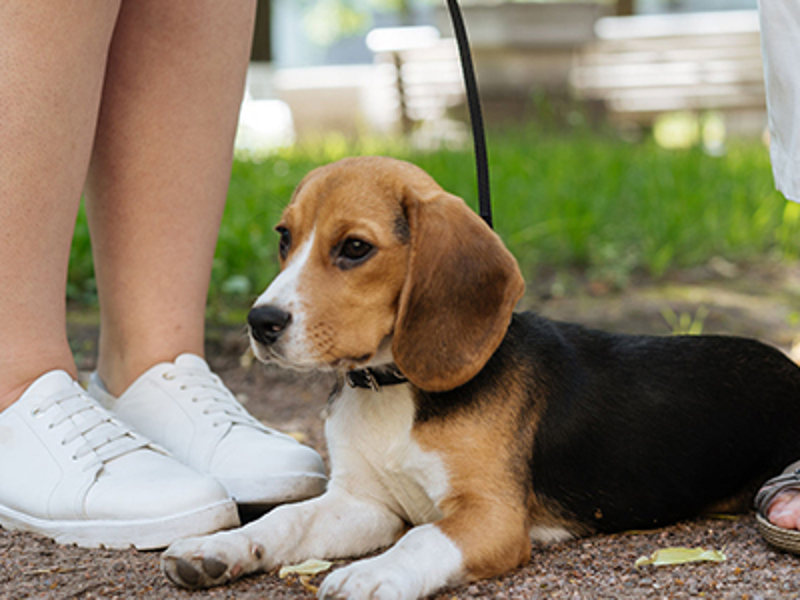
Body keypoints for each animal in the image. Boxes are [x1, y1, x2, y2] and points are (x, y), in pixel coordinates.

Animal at [162, 156, 800, 600]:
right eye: (283, 237)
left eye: (355, 248)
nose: (260, 322)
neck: (392, 389)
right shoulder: (364, 503)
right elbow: (290, 518)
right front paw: (220, 547)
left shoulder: (490, 516)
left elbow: (422, 537)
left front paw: (374, 573)